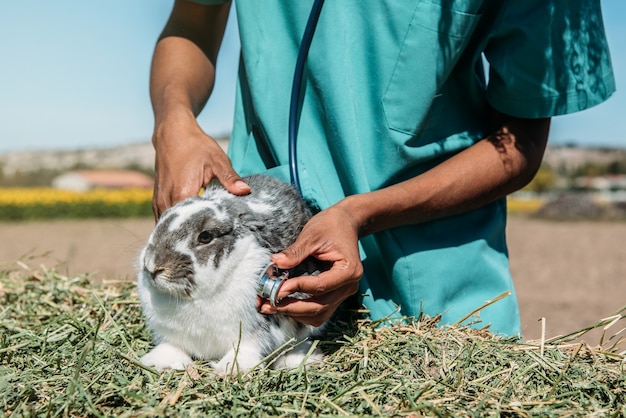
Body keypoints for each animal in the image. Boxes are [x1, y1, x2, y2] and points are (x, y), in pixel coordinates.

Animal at [135, 174, 324, 376]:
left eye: (205, 236)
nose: (152, 266)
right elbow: (171, 346)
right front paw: (163, 363)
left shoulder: (256, 328)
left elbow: (248, 347)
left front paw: (231, 369)